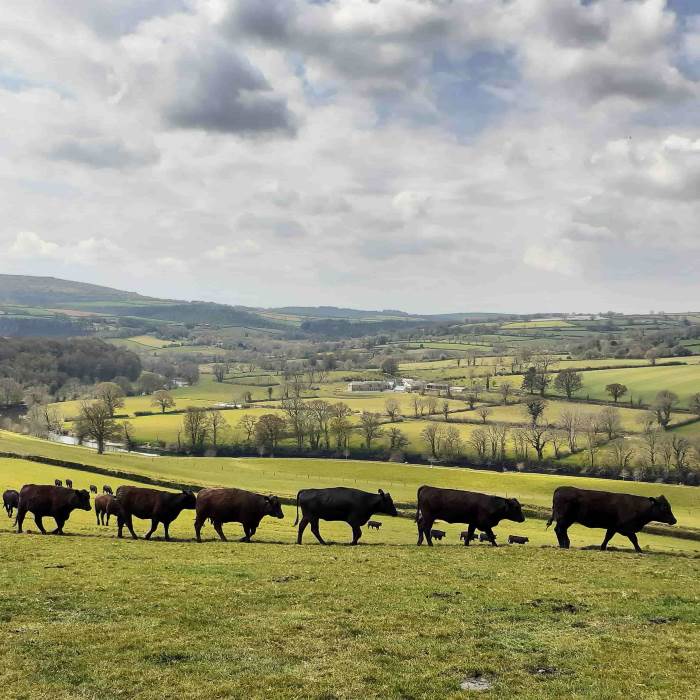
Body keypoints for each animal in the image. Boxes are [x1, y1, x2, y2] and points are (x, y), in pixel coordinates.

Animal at [548, 486, 680, 552]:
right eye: (664, 507)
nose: (674, 520)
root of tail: (560, 488)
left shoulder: (613, 527)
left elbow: (607, 537)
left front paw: (602, 548)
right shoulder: (626, 528)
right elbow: (634, 539)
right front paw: (639, 550)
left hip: (566, 520)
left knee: (561, 530)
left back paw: (565, 544)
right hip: (564, 519)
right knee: (559, 530)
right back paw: (564, 545)